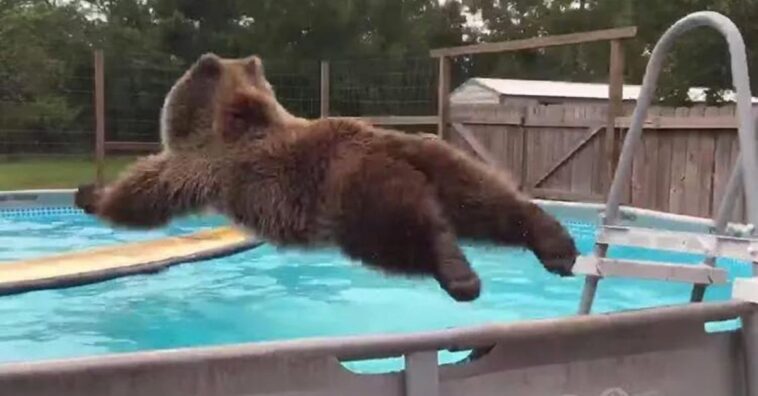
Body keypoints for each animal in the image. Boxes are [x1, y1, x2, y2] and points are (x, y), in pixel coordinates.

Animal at [75, 51, 580, 300]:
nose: (204, 62)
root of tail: (396, 150)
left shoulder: (203, 164)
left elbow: (144, 193)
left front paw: (92, 193)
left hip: (352, 195)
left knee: (404, 230)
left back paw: (458, 275)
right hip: (445, 162)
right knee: (487, 202)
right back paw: (556, 244)